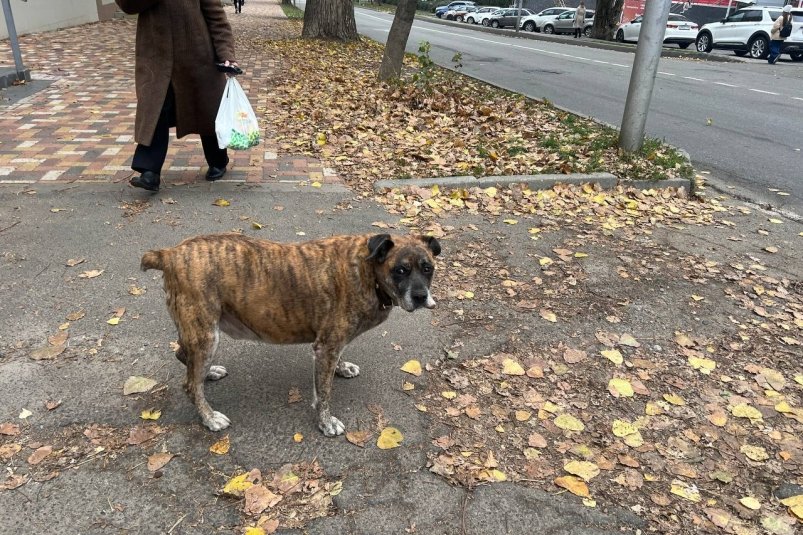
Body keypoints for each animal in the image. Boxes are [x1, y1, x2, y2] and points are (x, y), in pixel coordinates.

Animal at [138, 233, 440, 436]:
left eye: (428, 268)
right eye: (400, 270)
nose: (421, 296)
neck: (367, 270)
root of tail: (170, 254)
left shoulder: (332, 345)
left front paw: (342, 368)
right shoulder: (326, 347)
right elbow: (324, 392)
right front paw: (325, 422)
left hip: (199, 333)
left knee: (183, 355)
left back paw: (208, 372)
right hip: (206, 335)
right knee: (191, 384)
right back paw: (209, 416)